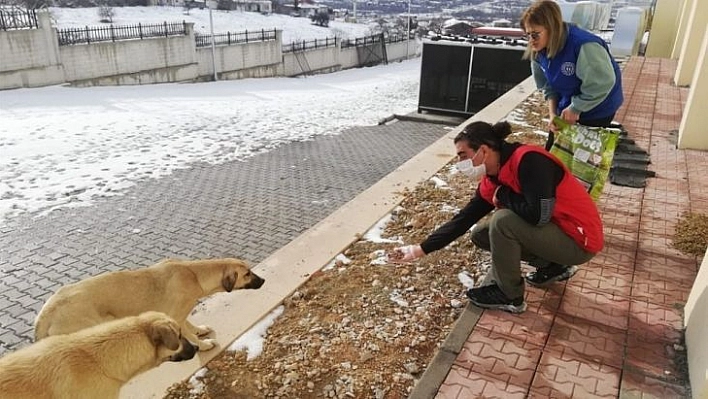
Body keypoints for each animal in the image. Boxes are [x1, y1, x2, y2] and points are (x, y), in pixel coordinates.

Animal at [34, 258, 266, 352]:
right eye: (247, 274)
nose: (263, 281)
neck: (194, 274)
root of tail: (44, 315)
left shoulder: (178, 313)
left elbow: (189, 324)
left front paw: (199, 330)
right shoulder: (176, 312)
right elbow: (187, 331)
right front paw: (203, 345)